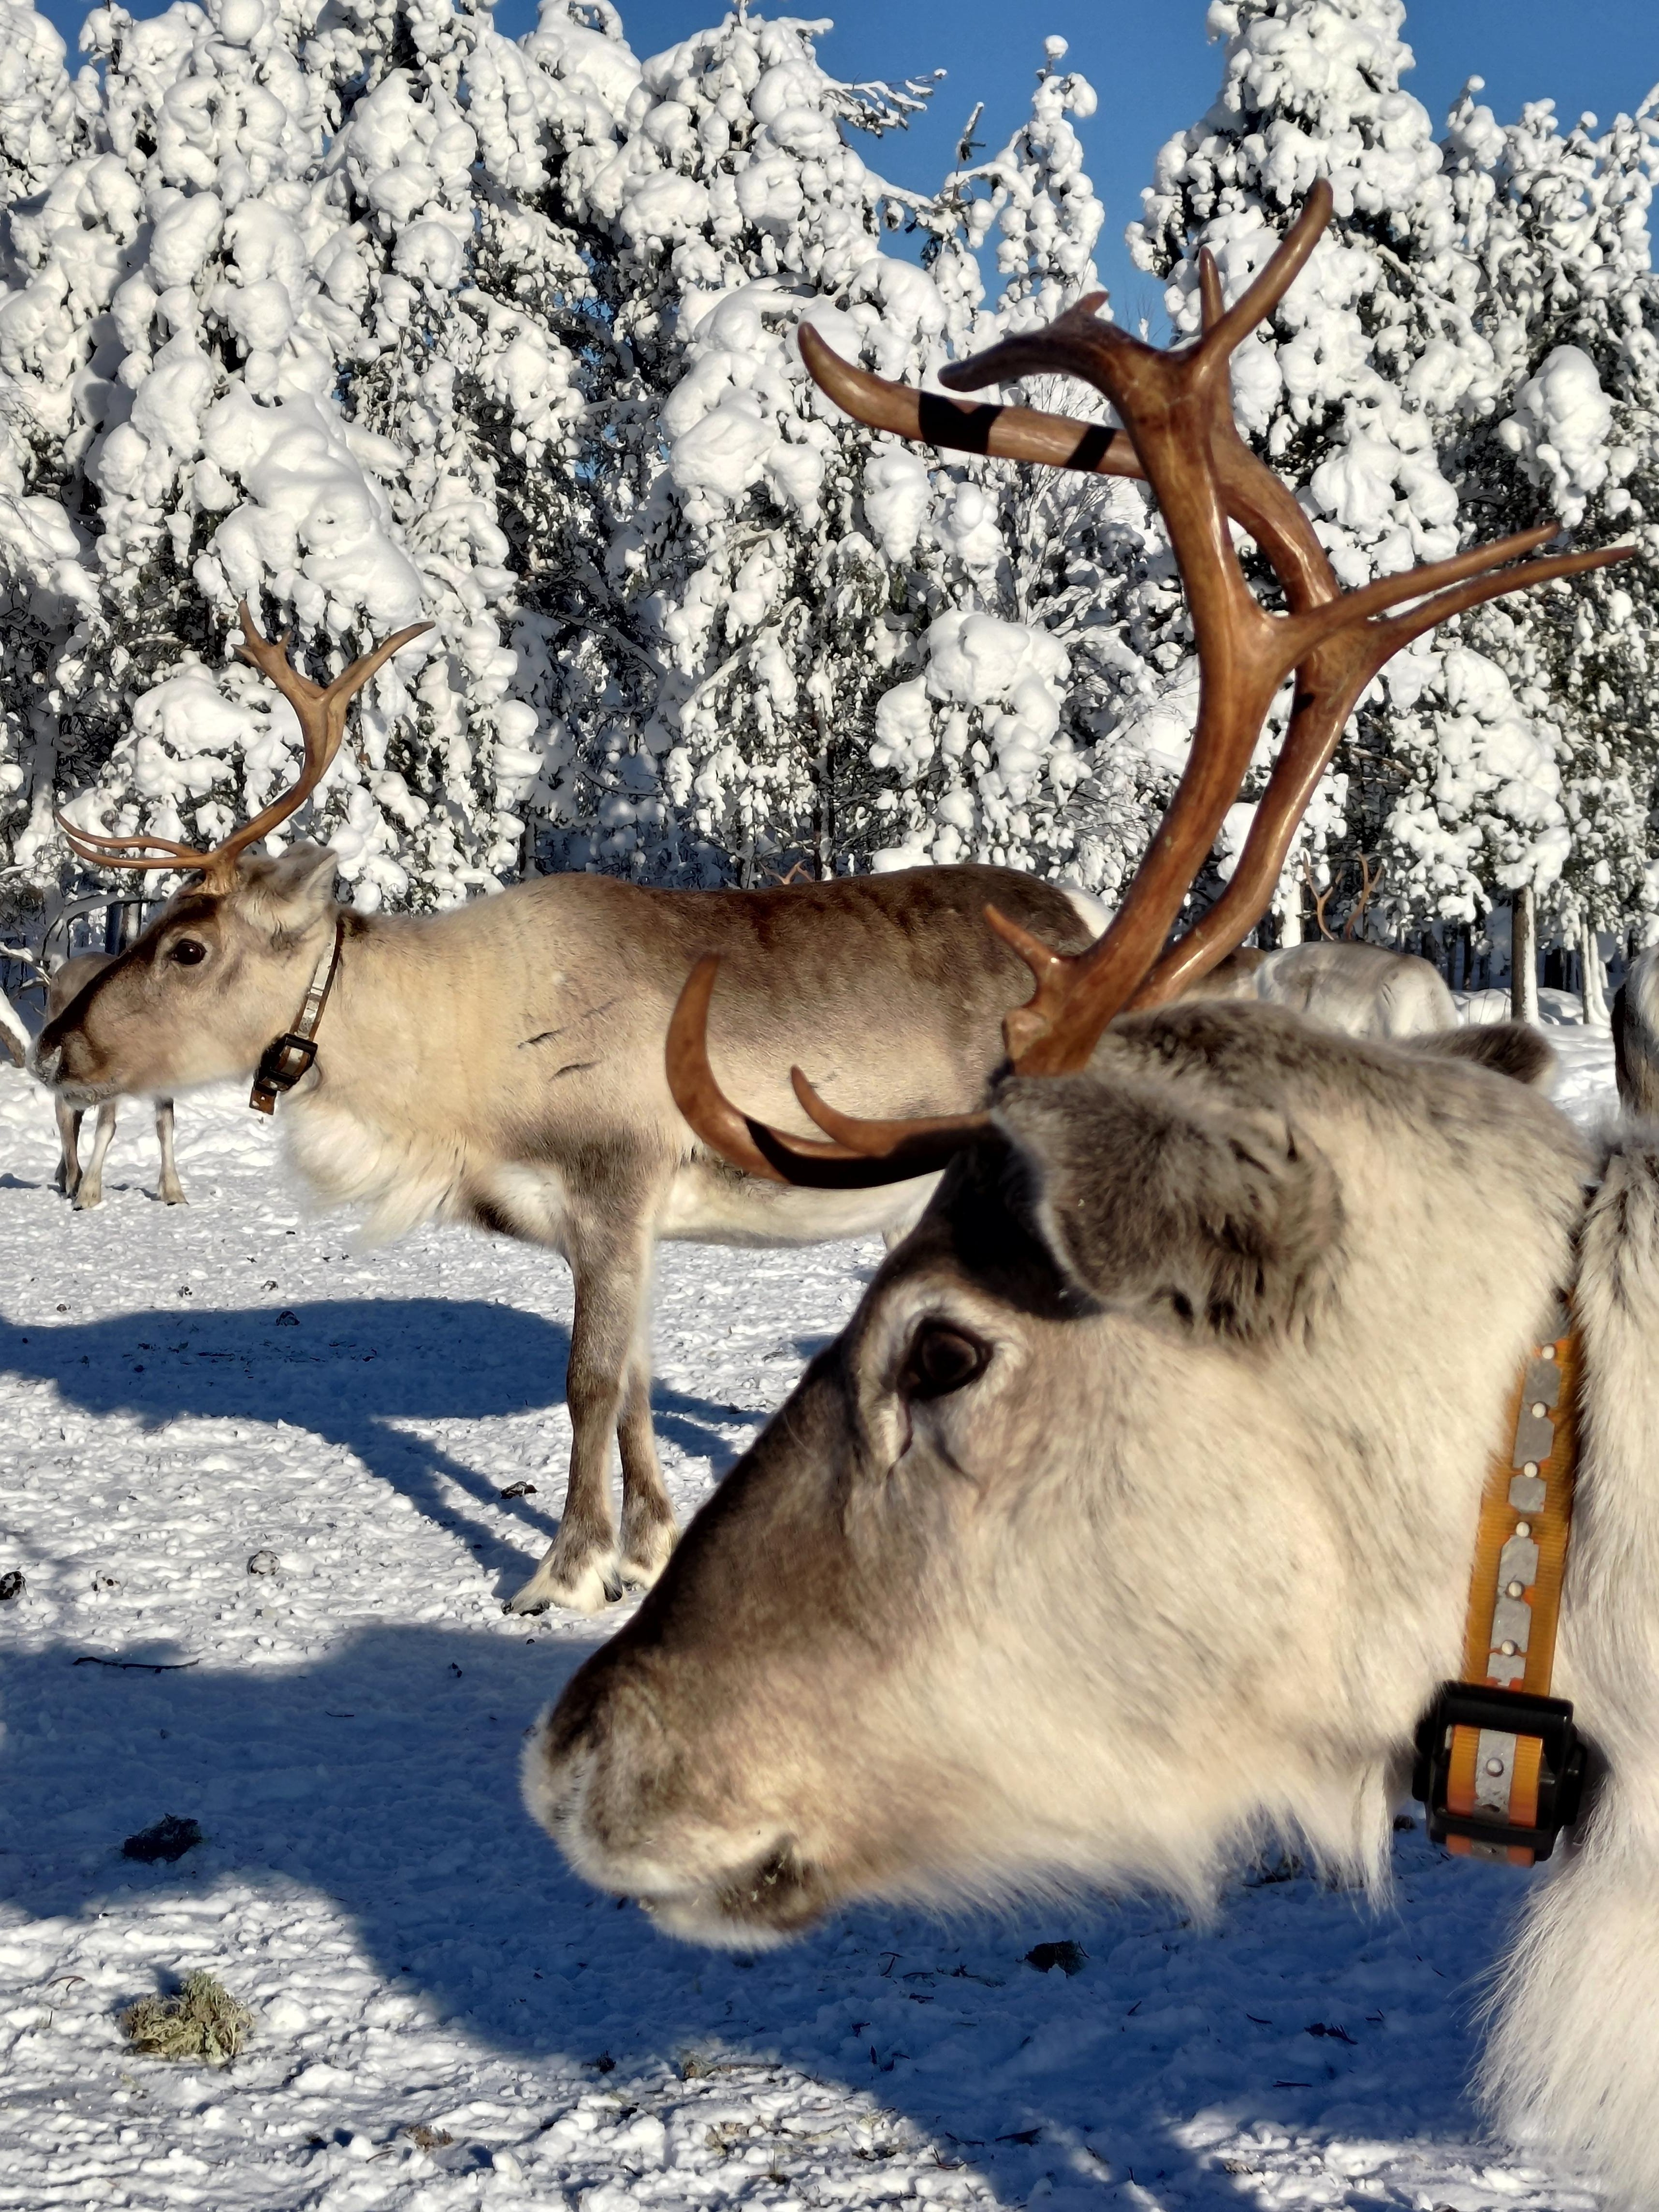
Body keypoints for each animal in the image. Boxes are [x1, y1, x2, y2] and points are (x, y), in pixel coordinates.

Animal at [31, 619, 1108, 1616]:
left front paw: (565, 1569)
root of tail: (1087, 924)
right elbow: (634, 1384)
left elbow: (588, 1383)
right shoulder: (615, 1229)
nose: (54, 1046)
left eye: (189, 949)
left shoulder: (613, 1191)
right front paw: (649, 1549)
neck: (455, 1069)